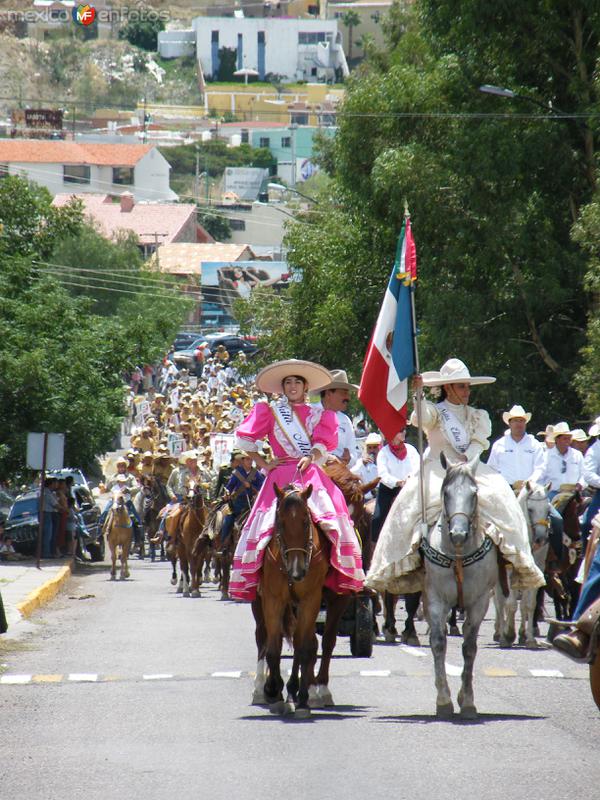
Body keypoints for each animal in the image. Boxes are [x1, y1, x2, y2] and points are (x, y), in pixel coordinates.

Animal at [252, 484, 330, 720]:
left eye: (305, 520)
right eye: (280, 521)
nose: (298, 571)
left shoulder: (310, 600)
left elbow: (303, 647)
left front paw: (303, 699)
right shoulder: (272, 599)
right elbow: (273, 647)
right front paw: (273, 691)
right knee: (263, 636)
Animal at [420, 454, 500, 720]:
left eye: (474, 493)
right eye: (445, 493)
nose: (458, 533)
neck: (457, 555)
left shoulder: (480, 601)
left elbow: (469, 648)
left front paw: (467, 702)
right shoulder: (435, 599)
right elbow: (438, 643)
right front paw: (443, 701)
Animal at [494, 482, 552, 648]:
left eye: (548, 510)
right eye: (530, 509)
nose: (541, 538)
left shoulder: (537, 570)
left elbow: (529, 604)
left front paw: (529, 638)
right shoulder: (509, 571)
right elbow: (511, 604)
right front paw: (508, 635)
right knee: (499, 602)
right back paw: (500, 633)